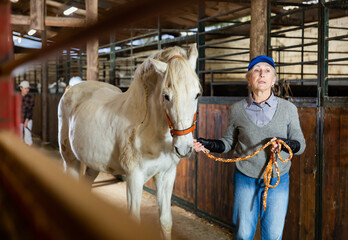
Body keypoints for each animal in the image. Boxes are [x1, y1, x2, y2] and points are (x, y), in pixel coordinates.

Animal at [57, 44, 201, 239]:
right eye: (166, 96)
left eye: (197, 94)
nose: (184, 148)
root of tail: (72, 88)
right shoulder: (134, 177)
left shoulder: (166, 175)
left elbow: (165, 221)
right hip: (69, 159)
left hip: (93, 164)